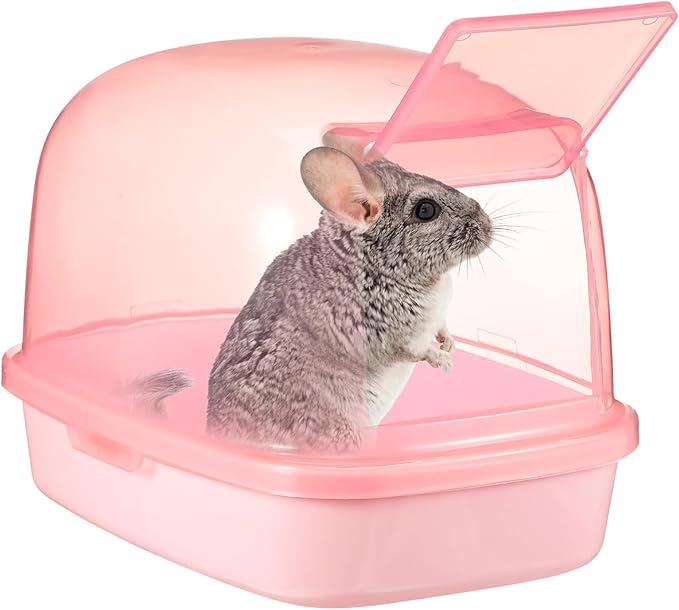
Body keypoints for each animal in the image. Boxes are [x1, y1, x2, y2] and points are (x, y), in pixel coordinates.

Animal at [133, 137, 492, 452]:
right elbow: (417, 350)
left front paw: (450, 343)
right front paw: (445, 362)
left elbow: (442, 327)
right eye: (426, 210)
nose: (488, 226)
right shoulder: (390, 333)